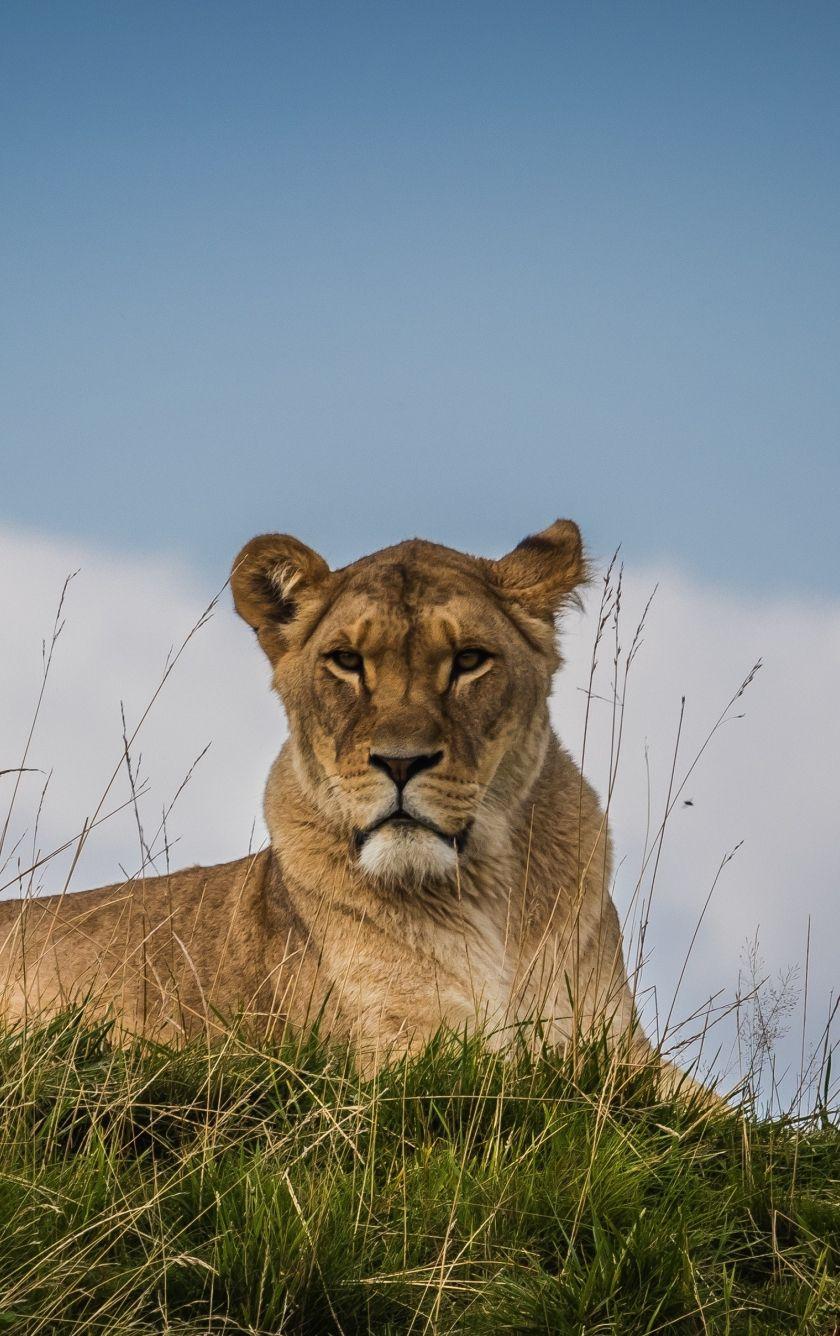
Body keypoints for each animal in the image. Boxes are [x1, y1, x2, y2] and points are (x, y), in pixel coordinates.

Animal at [0, 521, 710, 1098]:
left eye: (470, 660)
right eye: (346, 661)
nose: (400, 763)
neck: (488, 900)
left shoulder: (619, 1049)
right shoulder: (399, 1057)